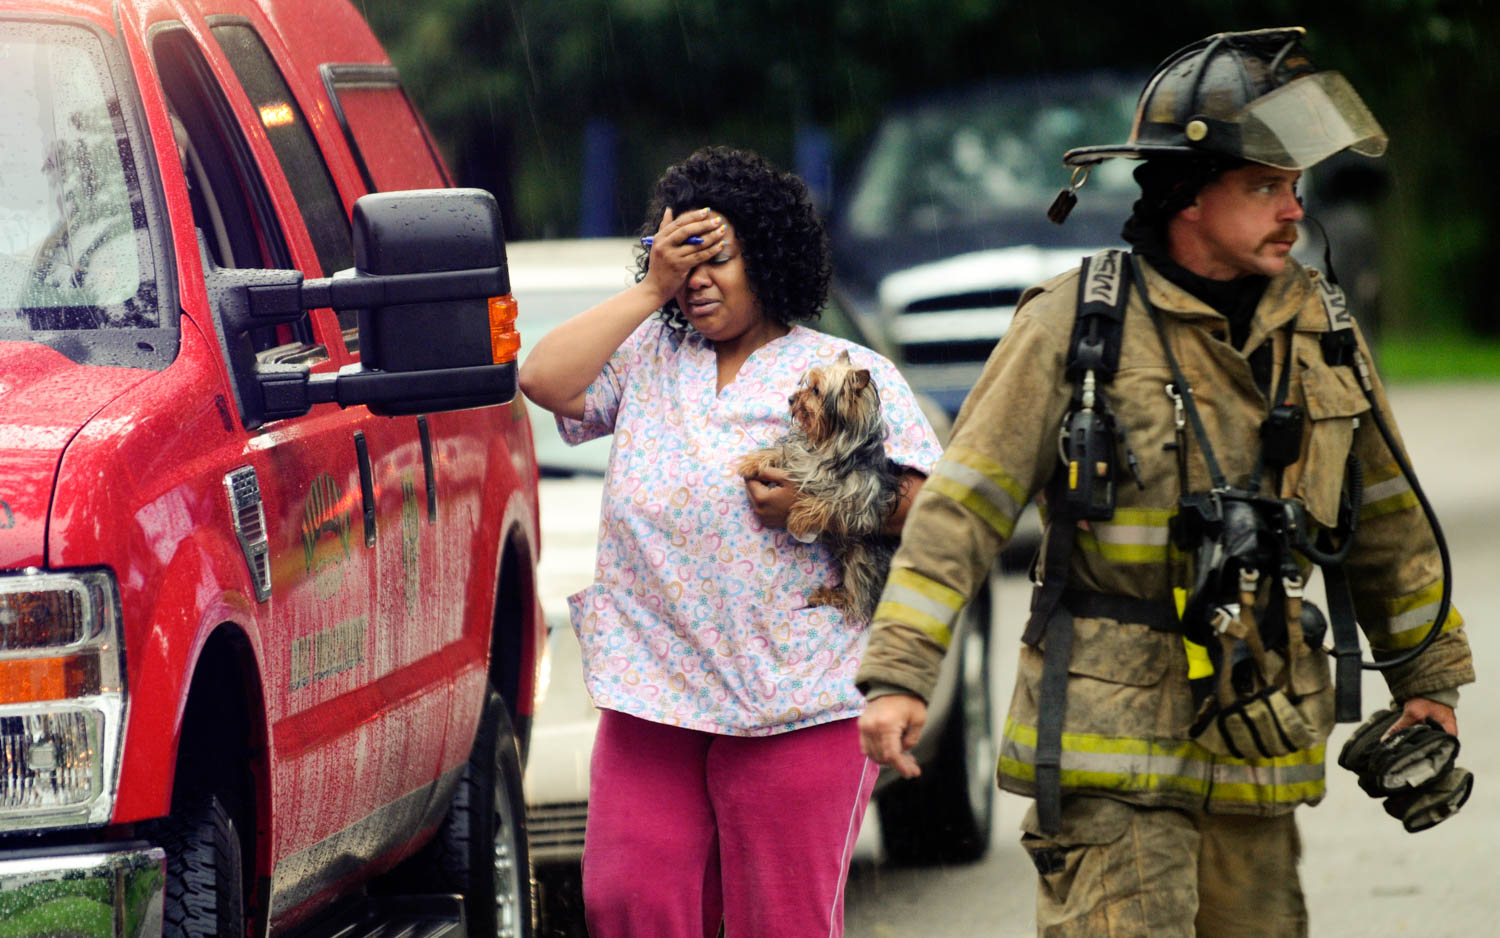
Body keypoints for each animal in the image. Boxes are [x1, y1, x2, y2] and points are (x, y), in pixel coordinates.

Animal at [735, 345, 900, 621]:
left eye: (816, 390)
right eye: (806, 384)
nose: (791, 399)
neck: (830, 442)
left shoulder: (862, 501)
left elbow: (830, 502)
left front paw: (799, 516)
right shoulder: (802, 458)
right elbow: (783, 452)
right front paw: (754, 461)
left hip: (861, 555)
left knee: (858, 597)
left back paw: (832, 596)